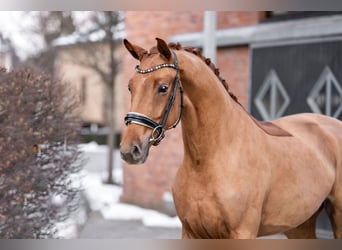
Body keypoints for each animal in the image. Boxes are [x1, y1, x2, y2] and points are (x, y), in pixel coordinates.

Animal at [119, 38, 342, 239]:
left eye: (163, 87)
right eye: (130, 86)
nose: (130, 150)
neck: (207, 161)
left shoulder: (242, 232)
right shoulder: (191, 232)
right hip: (299, 225)